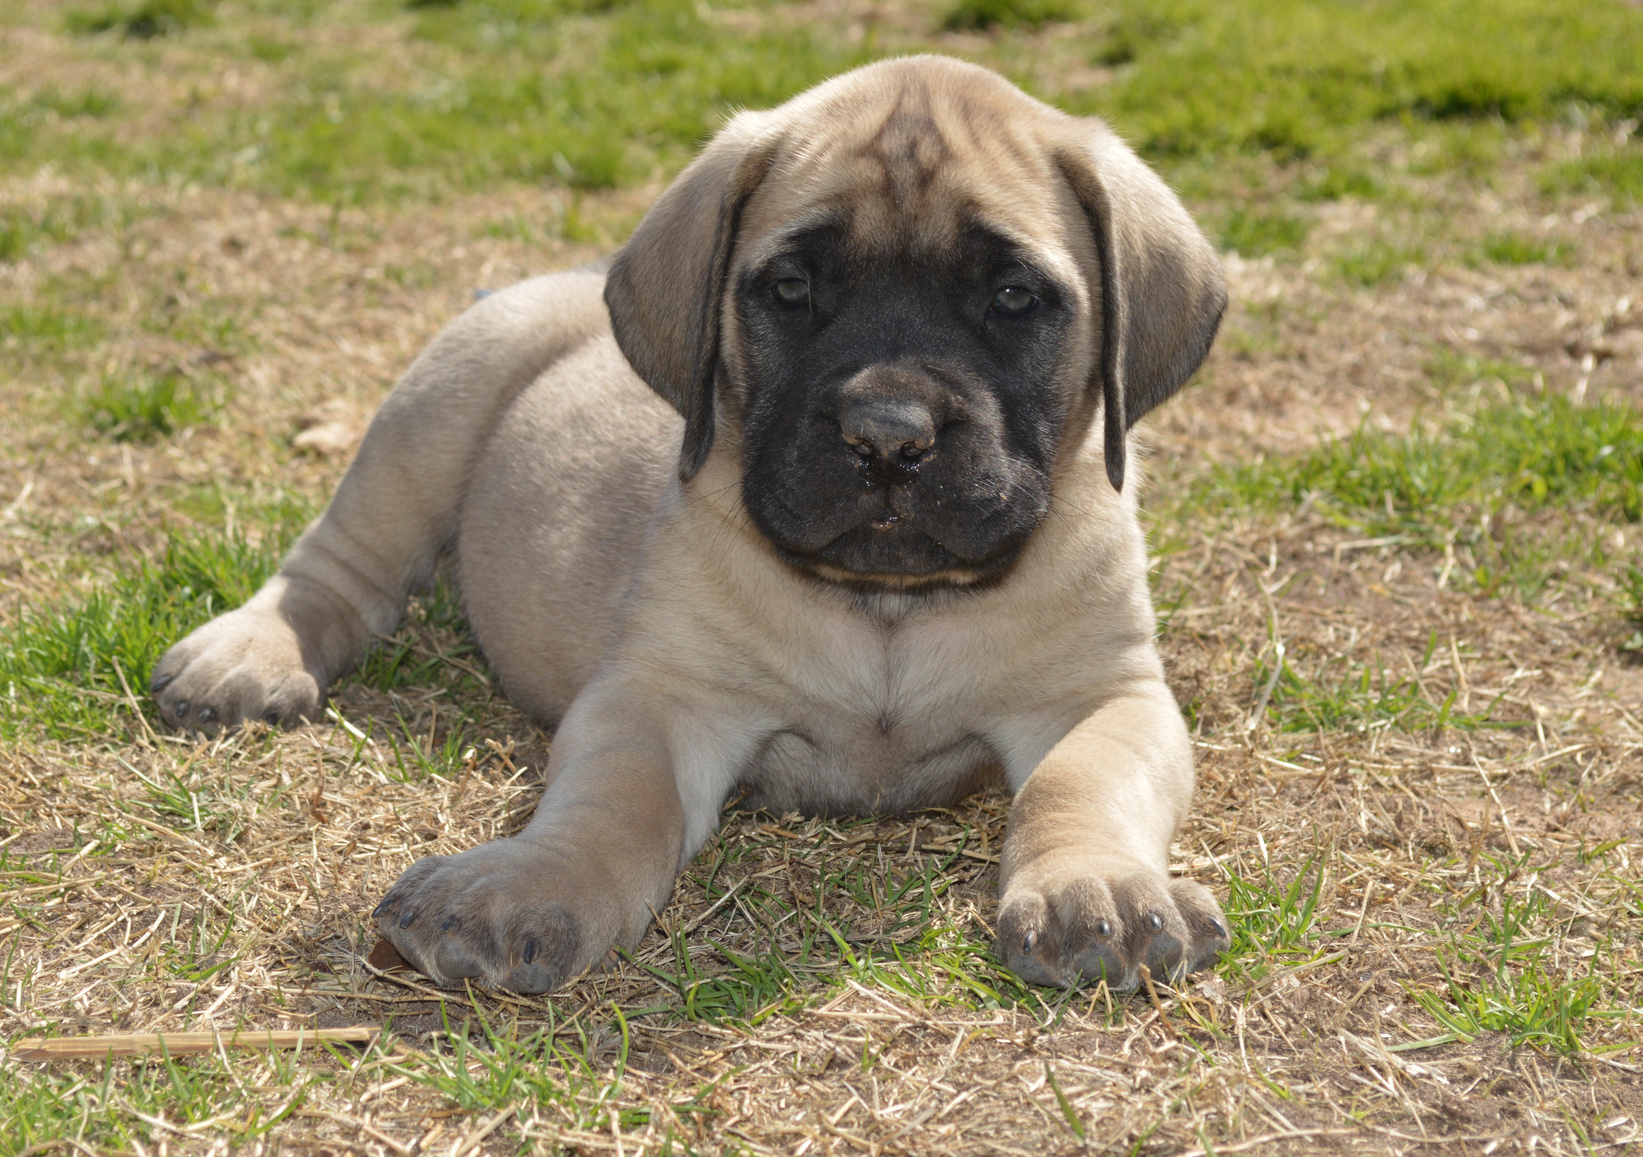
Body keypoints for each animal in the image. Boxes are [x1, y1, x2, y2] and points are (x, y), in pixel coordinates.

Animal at [151, 56, 1235, 992]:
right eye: (789, 290)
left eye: (1013, 296)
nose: (887, 434)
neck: (887, 610)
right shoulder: (660, 696)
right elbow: (611, 802)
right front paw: (524, 885)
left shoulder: (1108, 695)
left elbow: (1079, 781)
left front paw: (1097, 887)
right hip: (437, 409)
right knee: (338, 564)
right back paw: (247, 653)